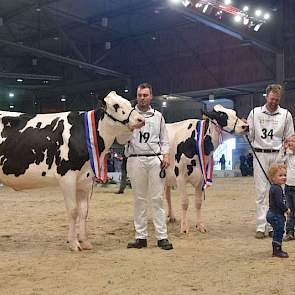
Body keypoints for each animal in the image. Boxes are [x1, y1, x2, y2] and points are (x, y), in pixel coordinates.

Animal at [0, 92, 145, 252]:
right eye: (116, 105)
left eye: (130, 103)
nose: (140, 120)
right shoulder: (67, 176)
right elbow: (73, 210)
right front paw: (74, 243)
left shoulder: (86, 179)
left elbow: (83, 211)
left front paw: (85, 242)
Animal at [165, 105, 249, 235]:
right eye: (222, 115)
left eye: (235, 113)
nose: (245, 126)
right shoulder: (180, 176)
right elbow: (185, 202)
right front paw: (184, 228)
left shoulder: (201, 178)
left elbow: (198, 203)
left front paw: (200, 226)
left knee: (167, 195)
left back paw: (171, 216)